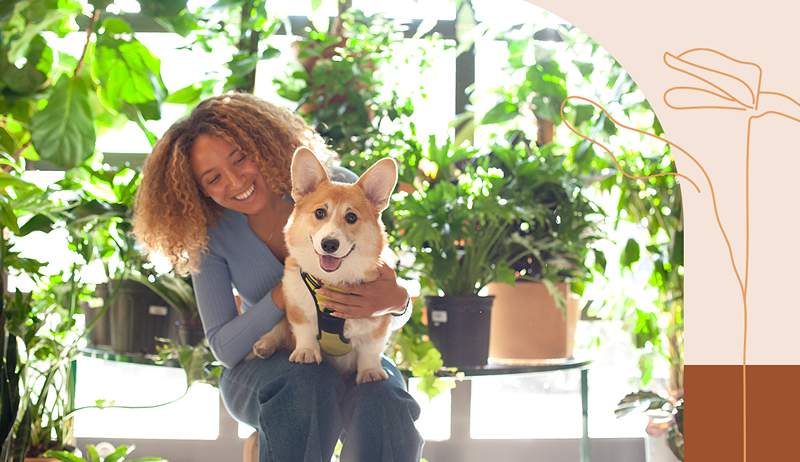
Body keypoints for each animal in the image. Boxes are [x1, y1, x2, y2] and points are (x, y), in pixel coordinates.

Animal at [250, 147, 400, 382]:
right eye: (320, 213)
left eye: (351, 217)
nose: (329, 244)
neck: (333, 280)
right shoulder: (296, 307)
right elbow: (304, 331)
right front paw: (306, 352)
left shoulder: (378, 322)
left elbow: (370, 350)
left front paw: (370, 372)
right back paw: (265, 345)